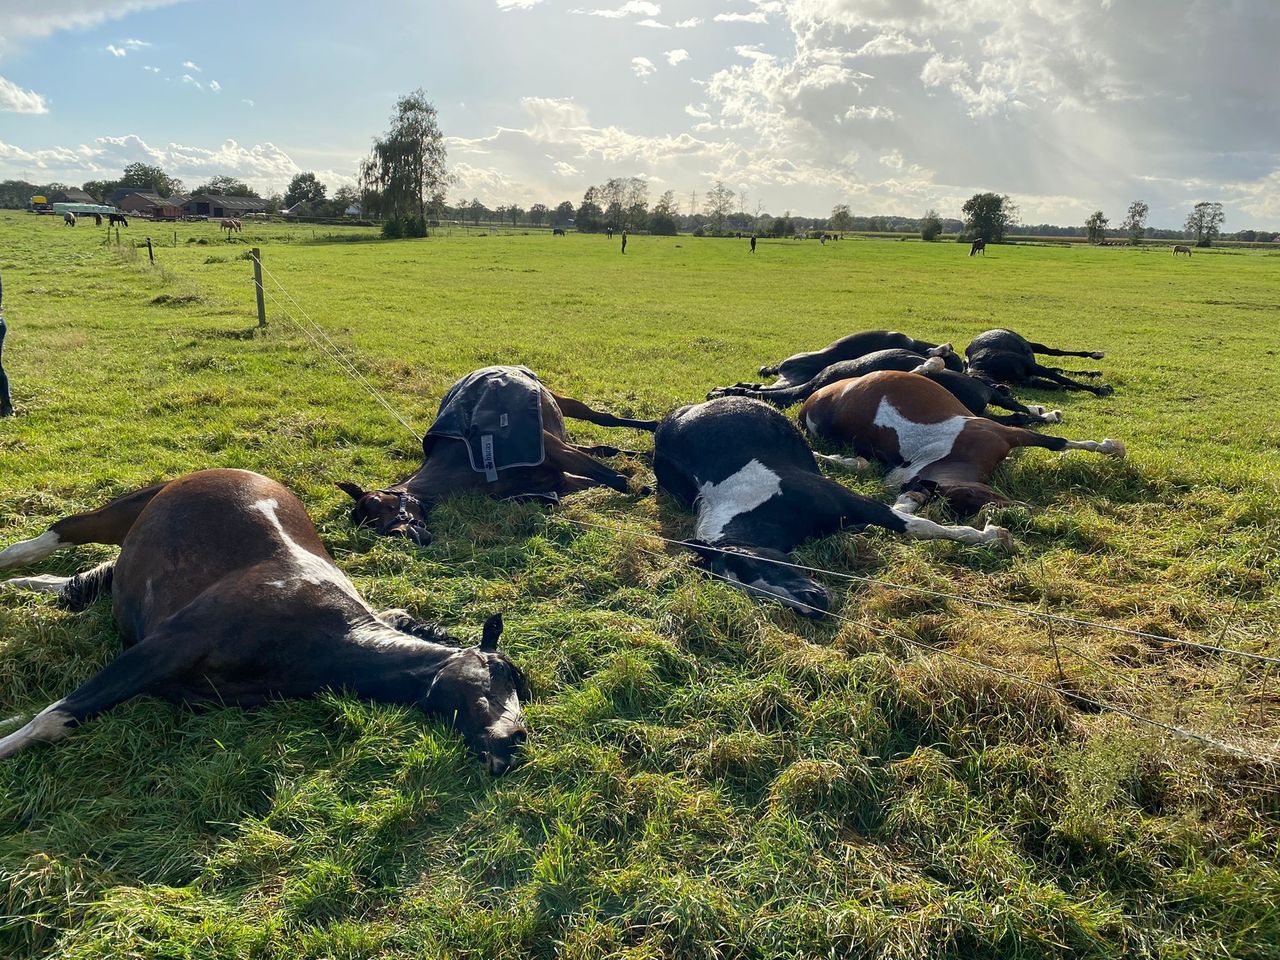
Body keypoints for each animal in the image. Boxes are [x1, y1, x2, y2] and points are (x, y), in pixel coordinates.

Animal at [0, 469, 529, 773]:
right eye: (501, 672)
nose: (517, 740)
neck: (323, 632)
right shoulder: (165, 646)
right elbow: (55, 717)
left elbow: (59, 711)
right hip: (122, 512)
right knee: (56, 535)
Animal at [338, 366, 657, 544]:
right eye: (369, 524)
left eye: (379, 502)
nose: (398, 535)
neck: (468, 459)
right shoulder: (562, 481)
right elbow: (602, 476)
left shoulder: (557, 451)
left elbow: (615, 478)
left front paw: (649, 488)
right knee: (603, 448)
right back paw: (646, 452)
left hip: (564, 403)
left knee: (604, 419)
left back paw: (654, 427)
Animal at [651, 397, 1010, 616]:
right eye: (751, 592)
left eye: (754, 563)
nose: (816, 606)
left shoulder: (853, 501)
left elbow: (918, 527)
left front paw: (992, 534)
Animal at [800, 371, 1125, 516]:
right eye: (967, 504)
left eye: (971, 495)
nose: (1025, 509)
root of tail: (809, 405)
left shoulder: (1004, 433)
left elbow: (1056, 442)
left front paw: (1112, 447)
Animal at [965, 328, 1112, 396]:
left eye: (981, 382)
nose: (1004, 390)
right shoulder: (1031, 380)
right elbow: (1058, 383)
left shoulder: (1031, 366)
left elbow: (1064, 380)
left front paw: (1099, 389)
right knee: (1057, 369)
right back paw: (1092, 373)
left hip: (1034, 347)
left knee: (1055, 352)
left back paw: (1095, 355)